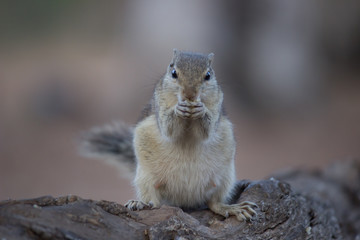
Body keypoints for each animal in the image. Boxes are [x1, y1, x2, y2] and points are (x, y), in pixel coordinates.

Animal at [80, 49, 258, 220]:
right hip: (145, 178)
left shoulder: (217, 107)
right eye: (173, 73)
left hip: (224, 179)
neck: (189, 118)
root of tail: (185, 200)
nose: (189, 94)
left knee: (213, 203)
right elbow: (168, 128)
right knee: (155, 201)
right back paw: (140, 203)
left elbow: (207, 131)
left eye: (208, 75)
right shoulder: (160, 105)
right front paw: (177, 110)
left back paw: (232, 208)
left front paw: (201, 110)